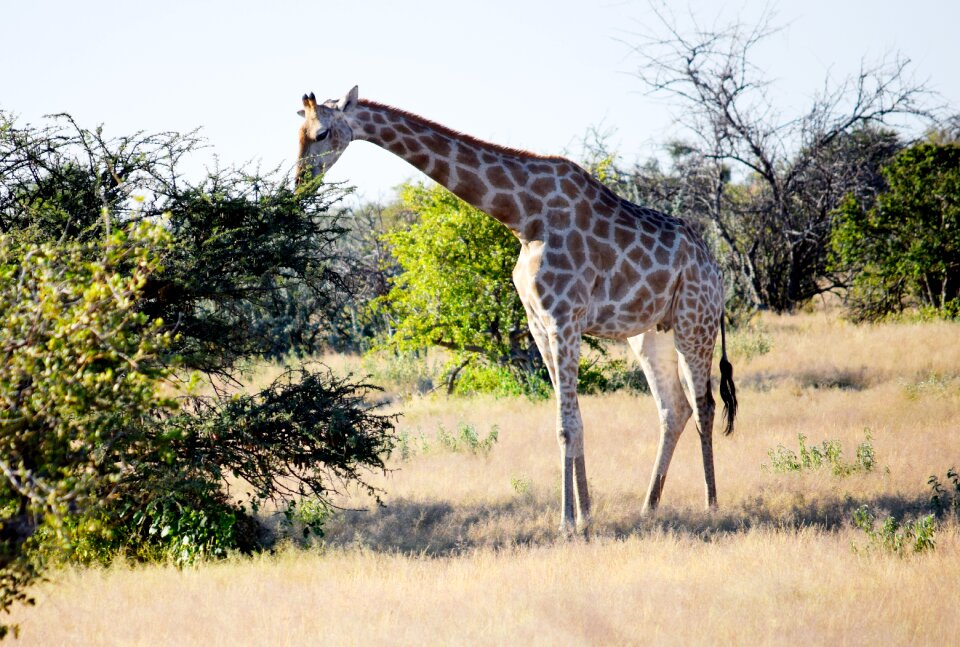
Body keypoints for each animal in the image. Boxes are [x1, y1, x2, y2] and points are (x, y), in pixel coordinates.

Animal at [296, 86, 740, 536]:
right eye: (298, 132)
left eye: (322, 133)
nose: (299, 184)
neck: (524, 217)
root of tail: (717, 270)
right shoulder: (539, 323)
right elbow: (574, 421)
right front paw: (585, 515)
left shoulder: (564, 318)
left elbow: (566, 425)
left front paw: (567, 523)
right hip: (650, 333)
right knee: (673, 409)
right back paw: (648, 508)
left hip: (694, 321)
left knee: (704, 406)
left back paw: (711, 505)